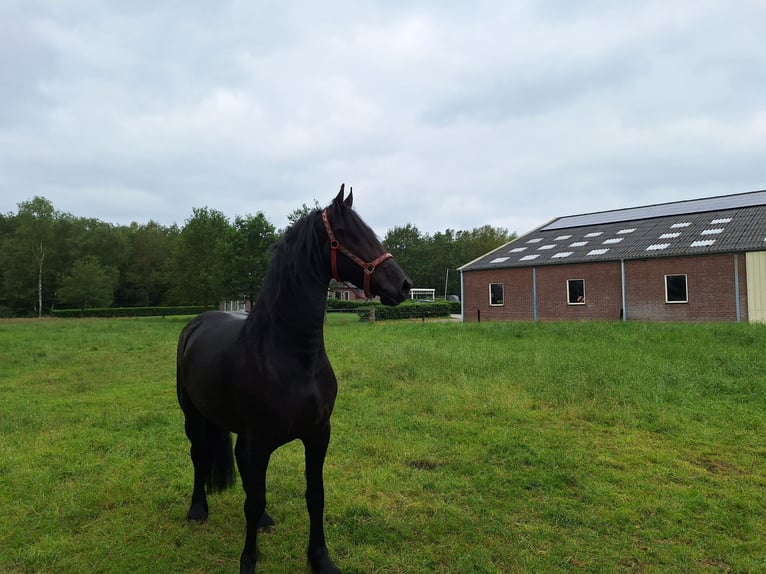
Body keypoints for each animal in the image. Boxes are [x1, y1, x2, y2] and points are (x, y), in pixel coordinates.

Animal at [177, 187, 414, 572]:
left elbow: (314, 496)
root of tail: (197, 322)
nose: (404, 285)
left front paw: (320, 558)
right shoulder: (258, 442)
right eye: (348, 234)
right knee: (199, 455)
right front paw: (248, 561)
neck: (292, 358)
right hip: (193, 415)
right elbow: (253, 501)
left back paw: (262, 521)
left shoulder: (318, 435)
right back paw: (198, 509)